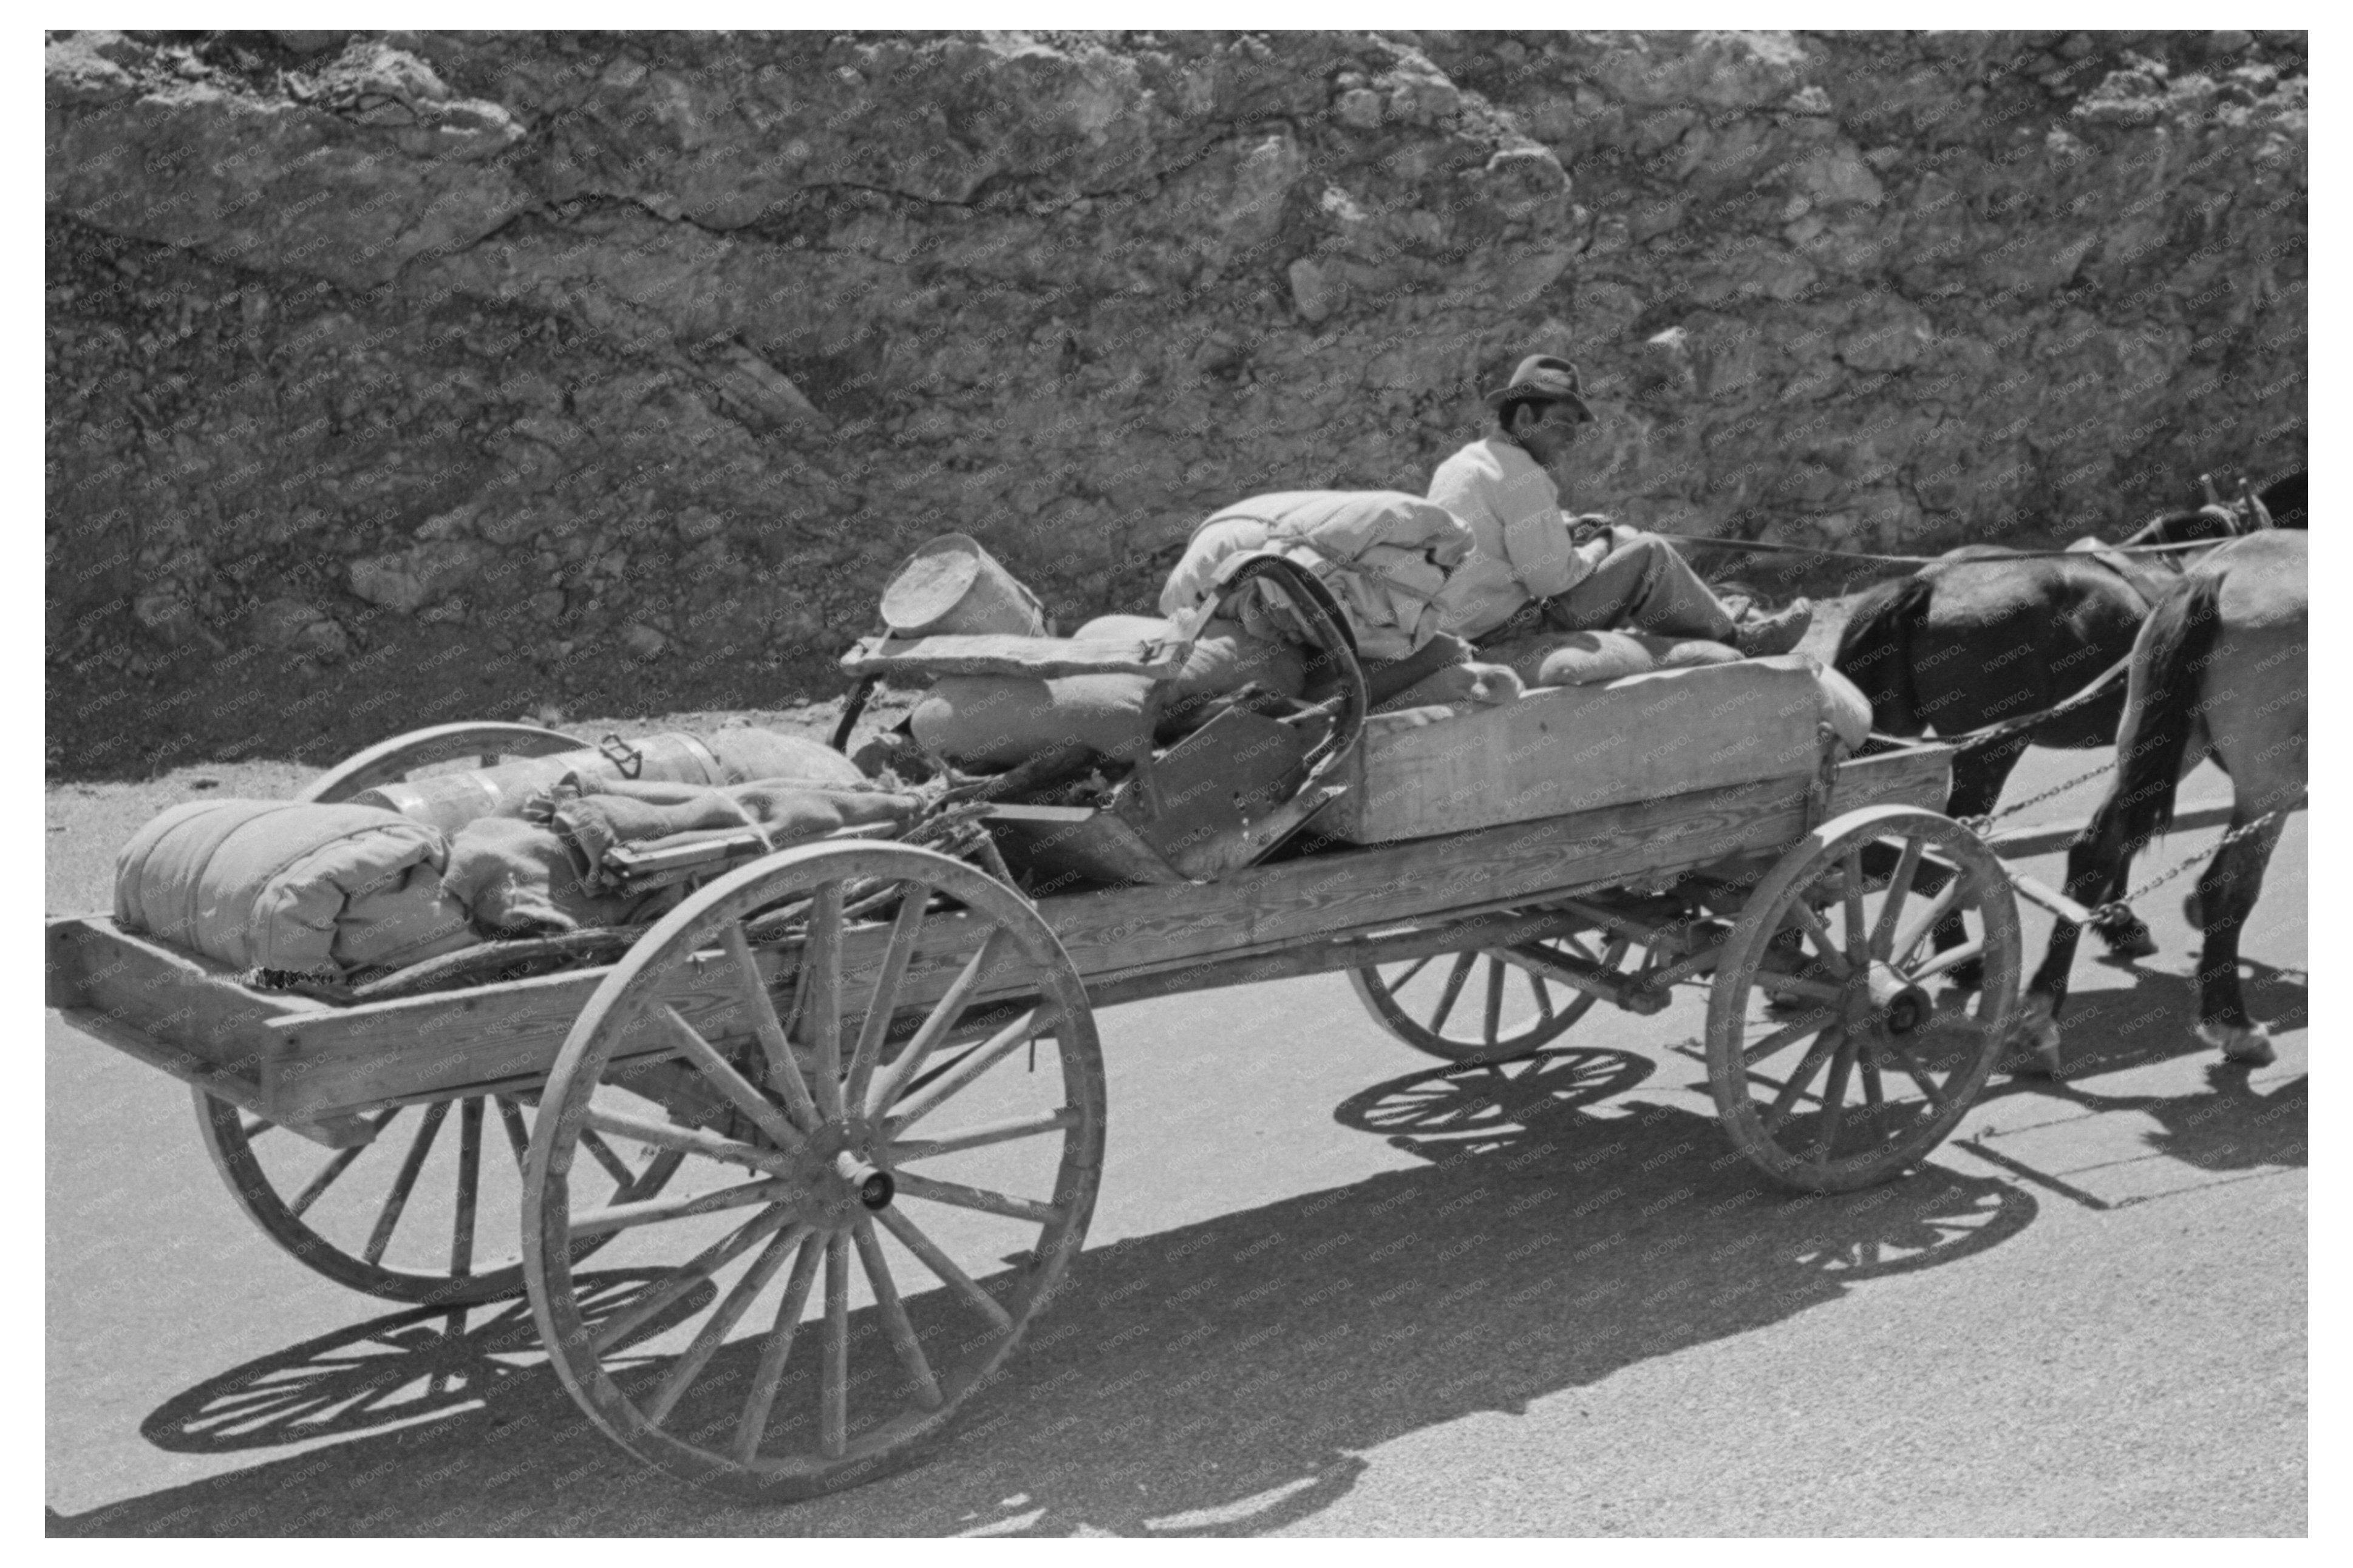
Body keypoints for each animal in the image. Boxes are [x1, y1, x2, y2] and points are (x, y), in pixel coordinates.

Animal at [2014, 531, 2306, 1081]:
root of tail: (2218, 572)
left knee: (2095, 852)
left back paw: (2042, 1013)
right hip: (2271, 782)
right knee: (2227, 886)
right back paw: (2232, 1022)